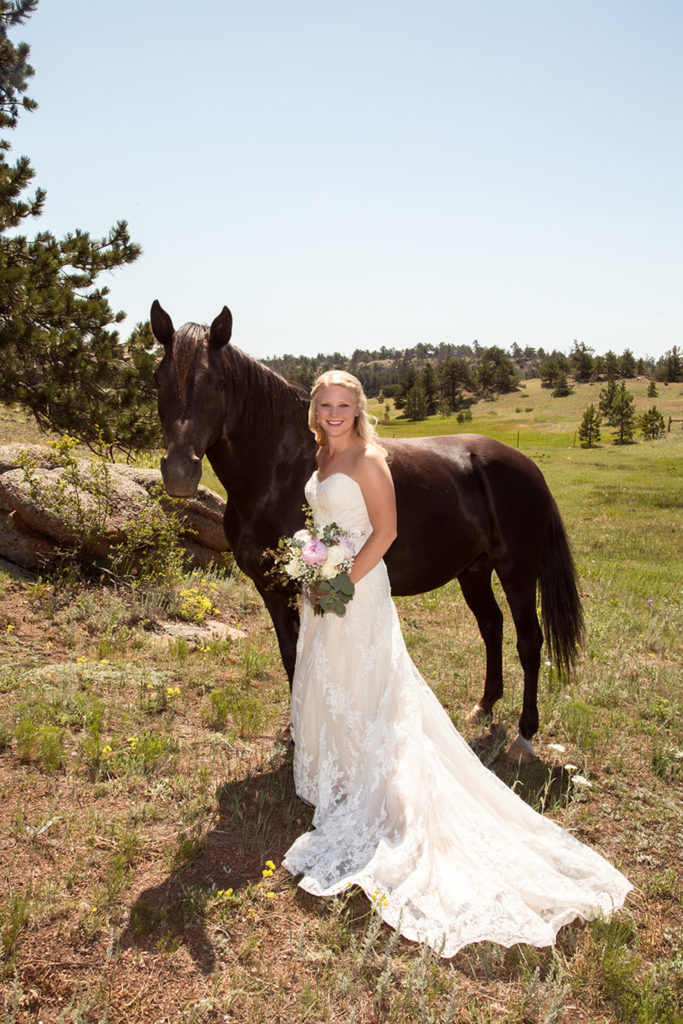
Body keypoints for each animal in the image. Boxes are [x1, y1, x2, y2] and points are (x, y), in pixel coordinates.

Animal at [152, 299, 585, 757]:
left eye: (217, 383)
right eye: (157, 379)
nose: (179, 472)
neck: (277, 471)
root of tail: (527, 466)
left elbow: (300, 655)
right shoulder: (271, 587)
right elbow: (290, 654)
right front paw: (293, 729)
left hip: (517, 571)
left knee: (529, 641)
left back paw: (525, 734)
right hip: (474, 571)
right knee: (492, 626)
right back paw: (484, 706)